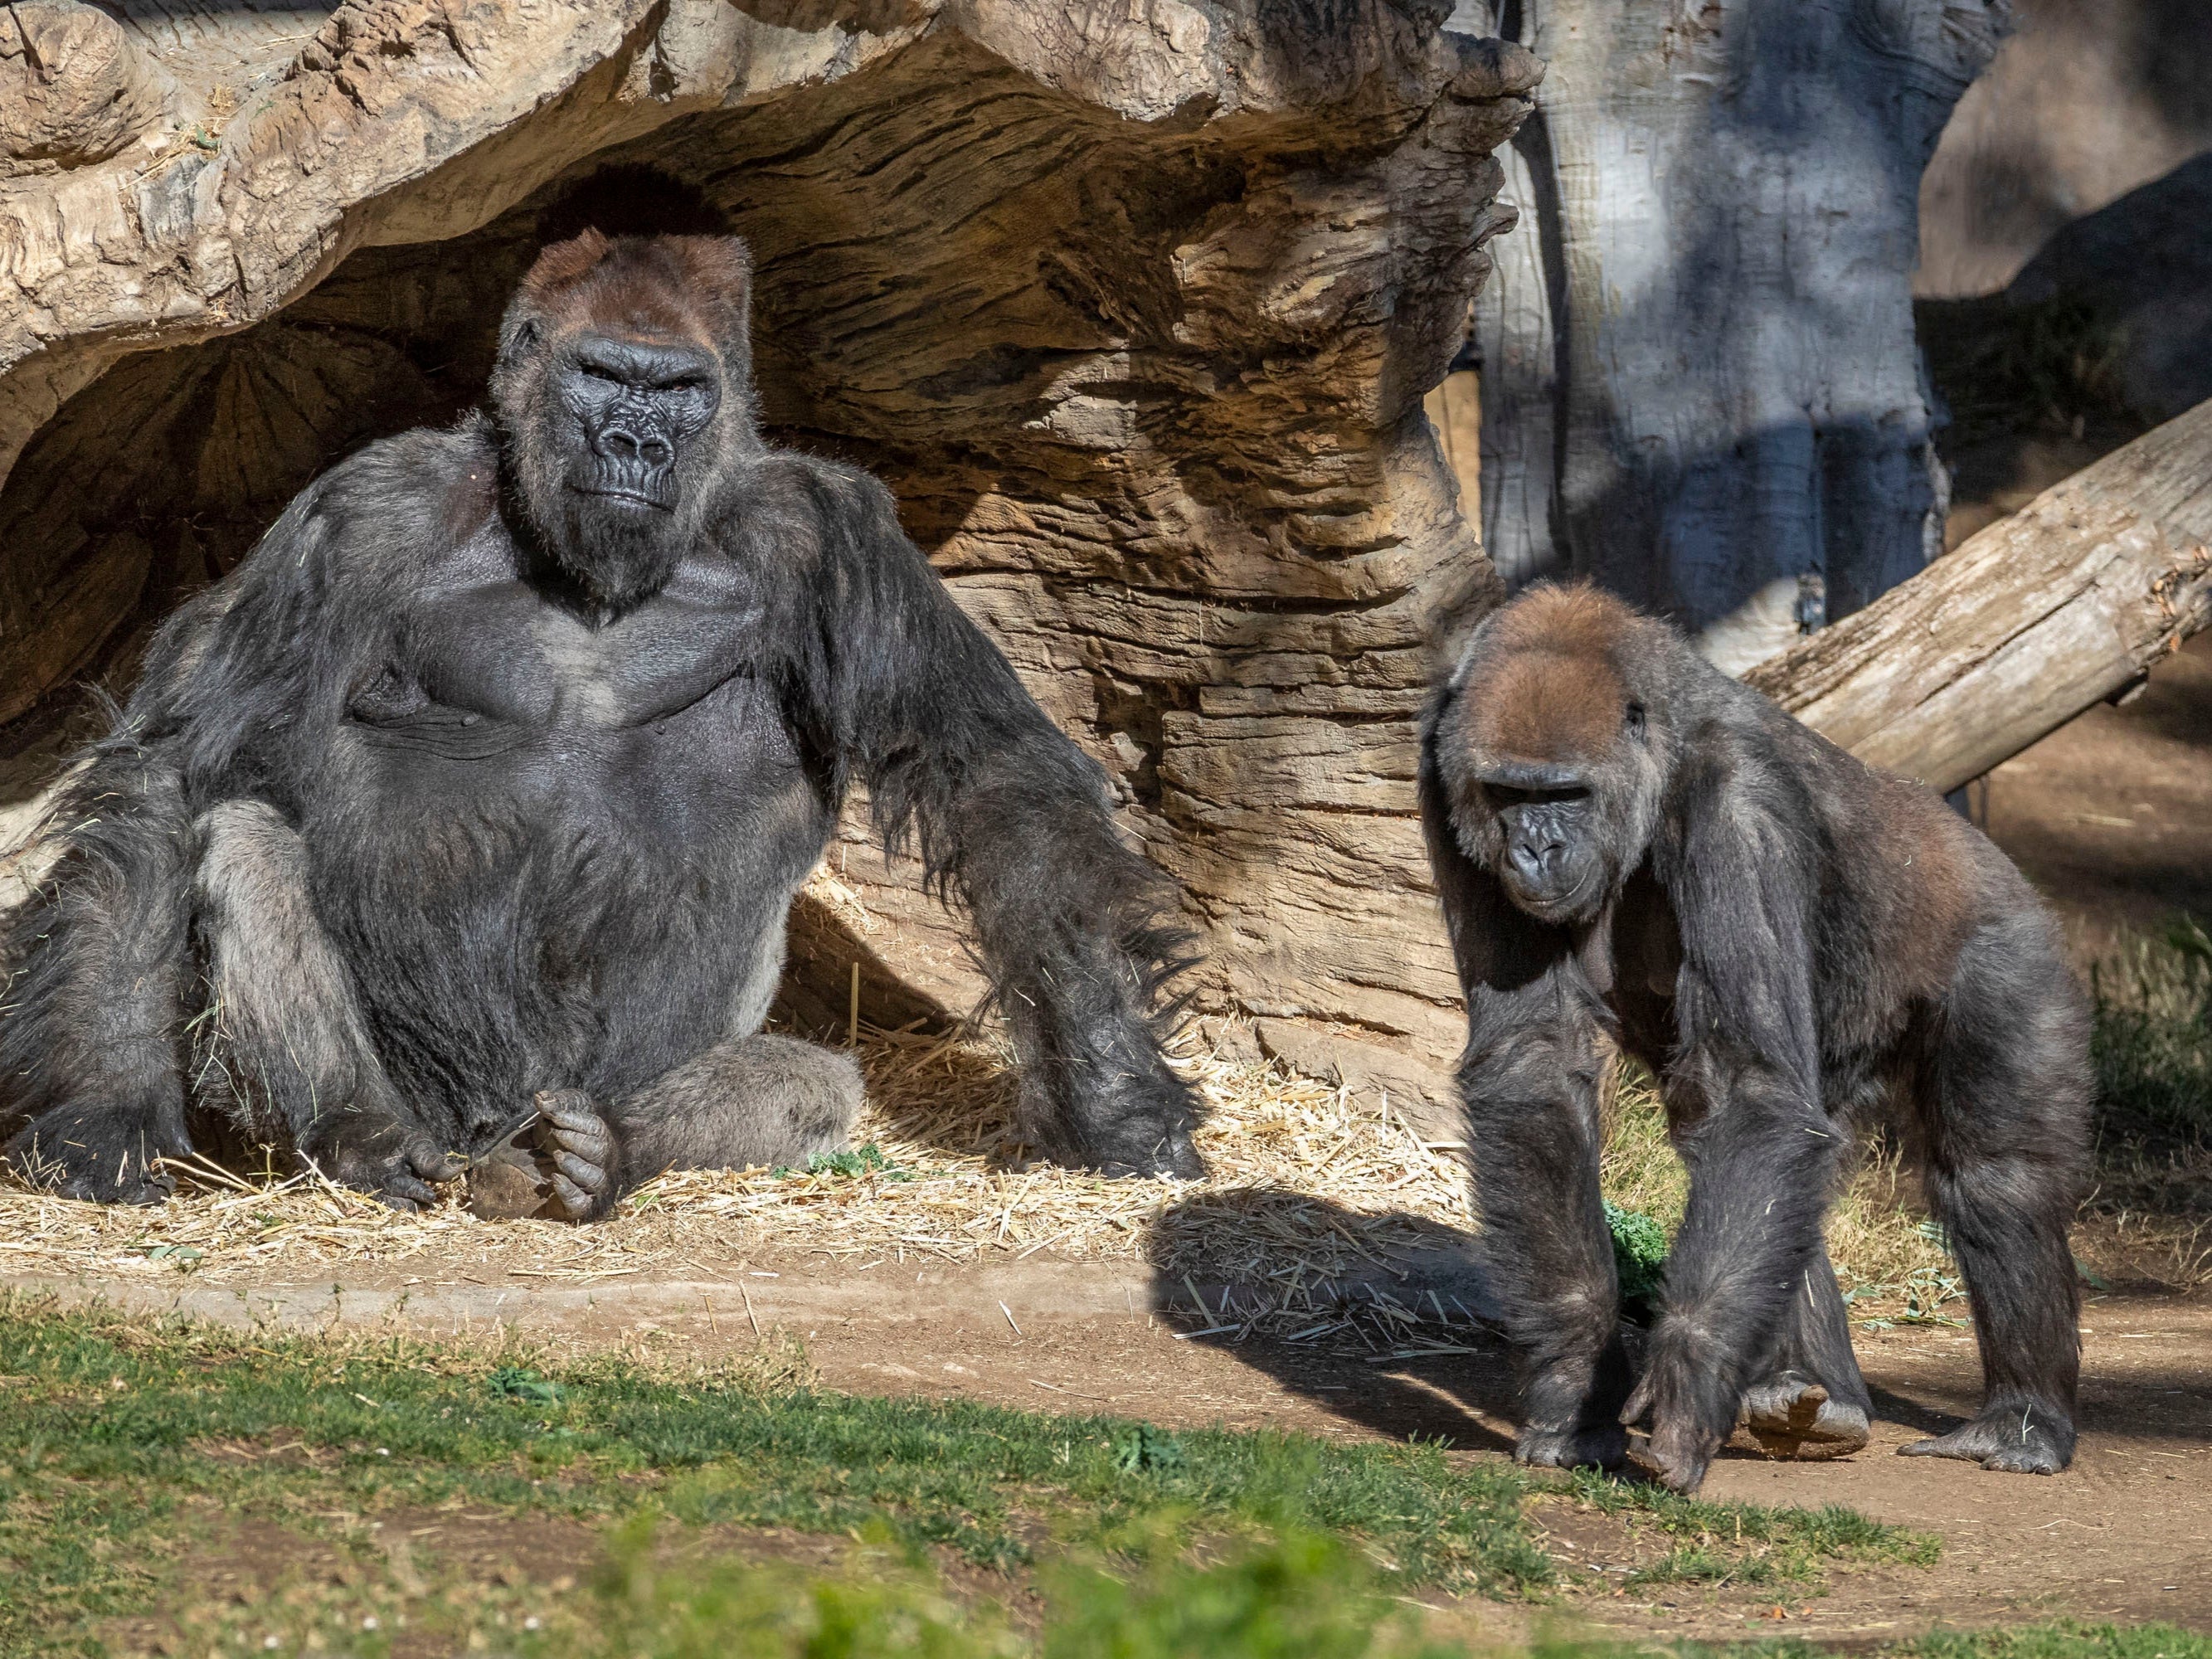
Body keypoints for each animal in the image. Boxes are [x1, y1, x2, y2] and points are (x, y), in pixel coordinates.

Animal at [0, 214, 1203, 1212]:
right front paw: (103, 1104)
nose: (636, 445)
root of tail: (491, 1139)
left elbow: (991, 775)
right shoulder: (361, 513)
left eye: (676, 391)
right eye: (600, 376)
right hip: (441, 1111)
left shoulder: (829, 531)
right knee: (245, 841)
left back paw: (608, 1148)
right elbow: (181, 769)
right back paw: (365, 1136)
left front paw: (1114, 1093)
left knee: (815, 1082)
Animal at [1415, 584, 2088, 1495]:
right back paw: (1810, 1391)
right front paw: (1575, 1378)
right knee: (1749, 1143)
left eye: (1568, 794)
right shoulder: (1440, 769)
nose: (1536, 848)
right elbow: (1538, 1066)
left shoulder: (1741, 801)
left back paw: (2021, 1421)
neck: (1658, 756)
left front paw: (1689, 1374)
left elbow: (1753, 1091)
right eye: (1506, 794)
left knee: (1995, 1175)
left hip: (2007, 937)